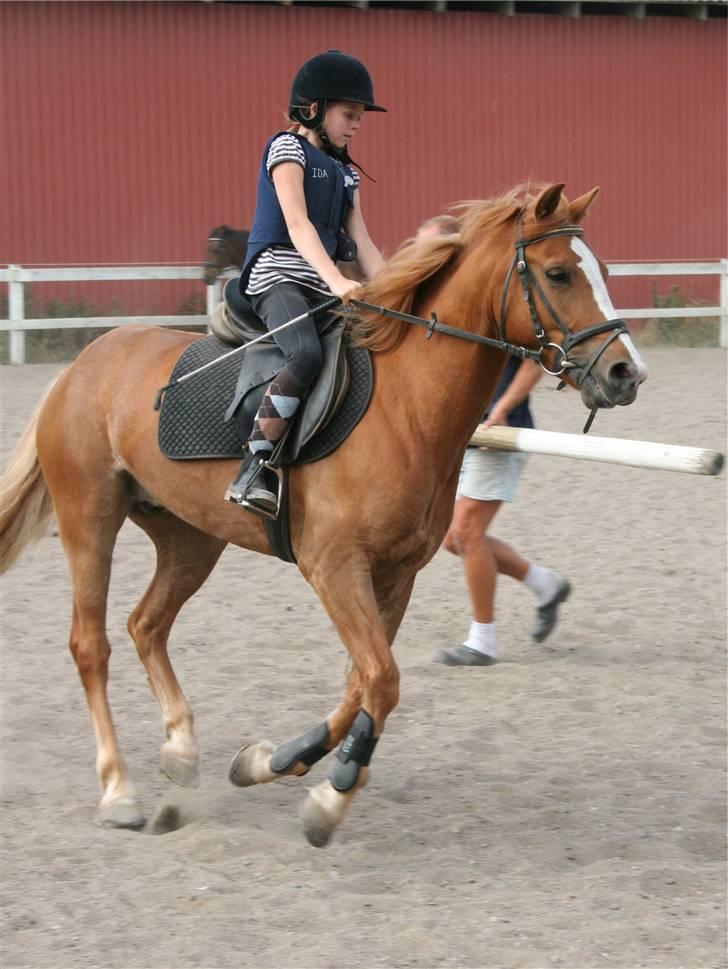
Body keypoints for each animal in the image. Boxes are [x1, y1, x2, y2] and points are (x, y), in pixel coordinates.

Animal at [0, 185, 648, 844]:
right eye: (558, 273)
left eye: (603, 269)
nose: (627, 373)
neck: (405, 408)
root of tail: (82, 364)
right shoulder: (334, 568)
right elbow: (382, 679)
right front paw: (328, 794)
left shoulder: (395, 575)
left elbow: (362, 683)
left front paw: (277, 763)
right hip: (90, 519)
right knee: (91, 645)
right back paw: (119, 792)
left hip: (191, 539)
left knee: (146, 625)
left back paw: (181, 752)